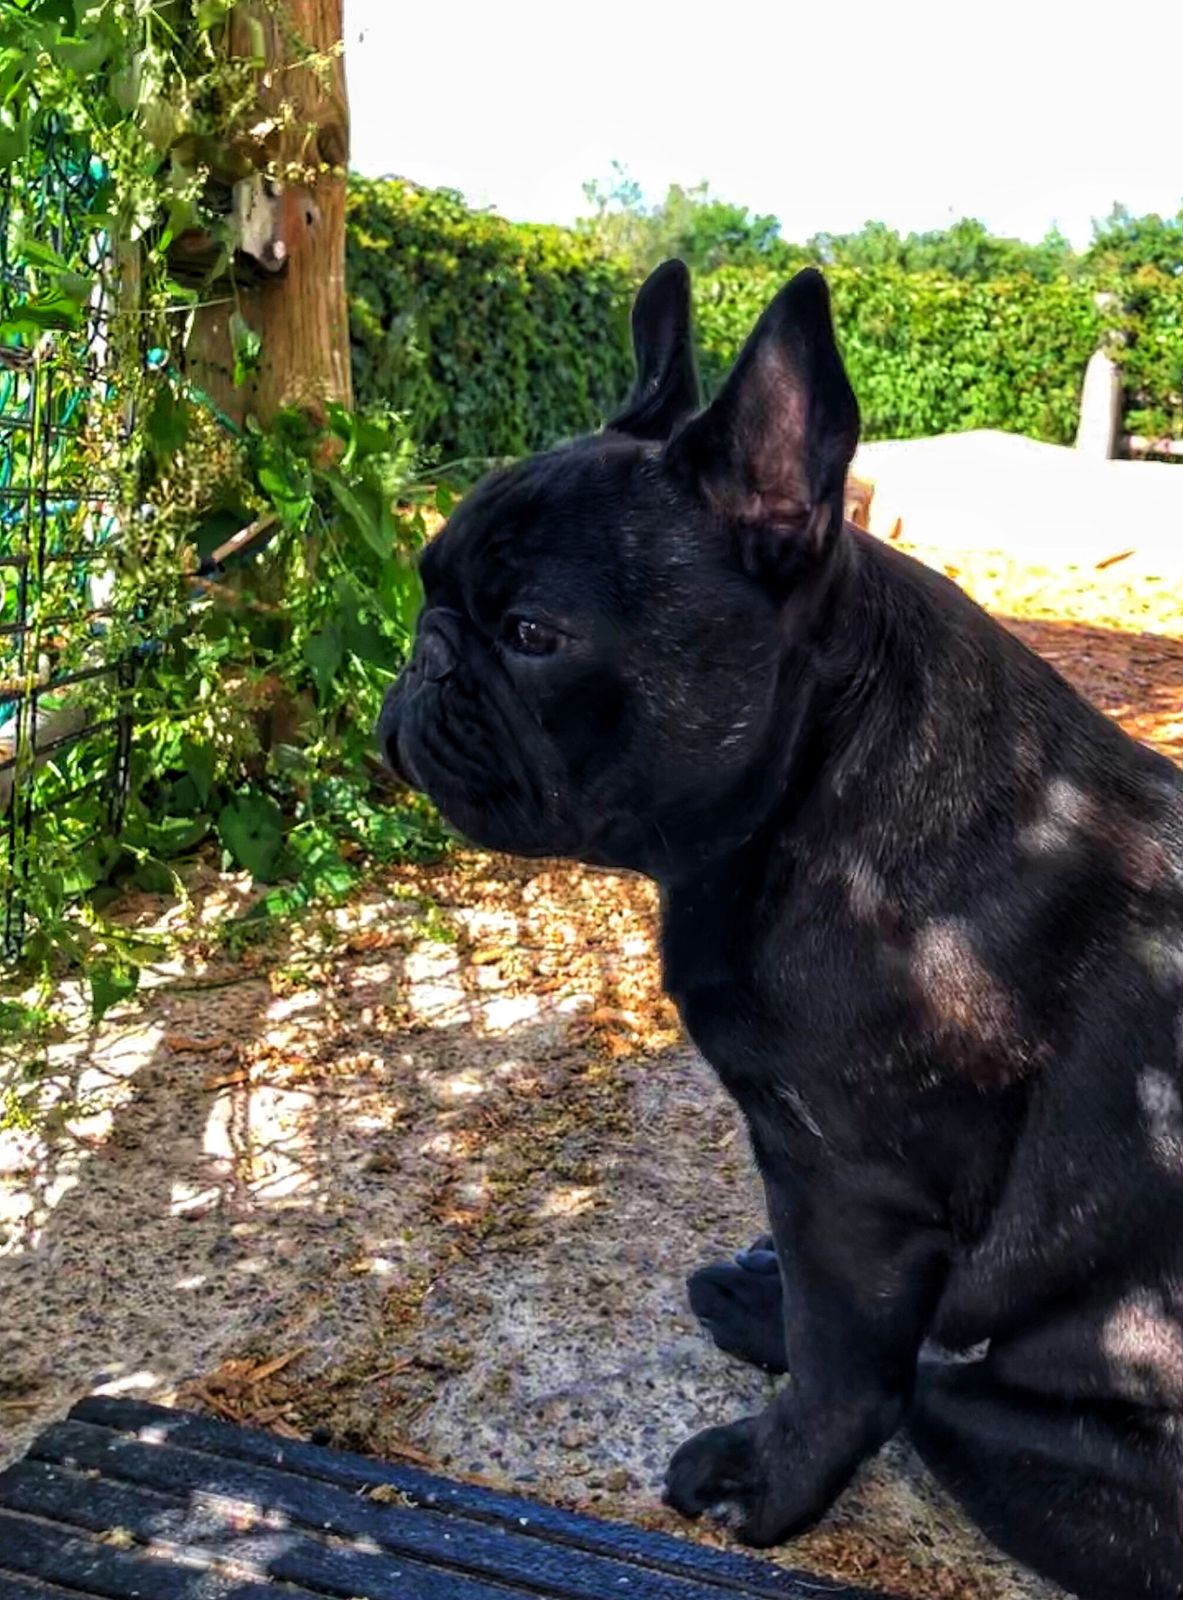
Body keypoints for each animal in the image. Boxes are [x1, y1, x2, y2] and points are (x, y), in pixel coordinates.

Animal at [378, 259, 1183, 1600]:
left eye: (534, 635)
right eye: (429, 585)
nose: (423, 658)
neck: (816, 779)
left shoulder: (850, 1185)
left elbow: (844, 1358)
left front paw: (770, 1480)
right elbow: (831, 1322)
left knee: (925, 1390)